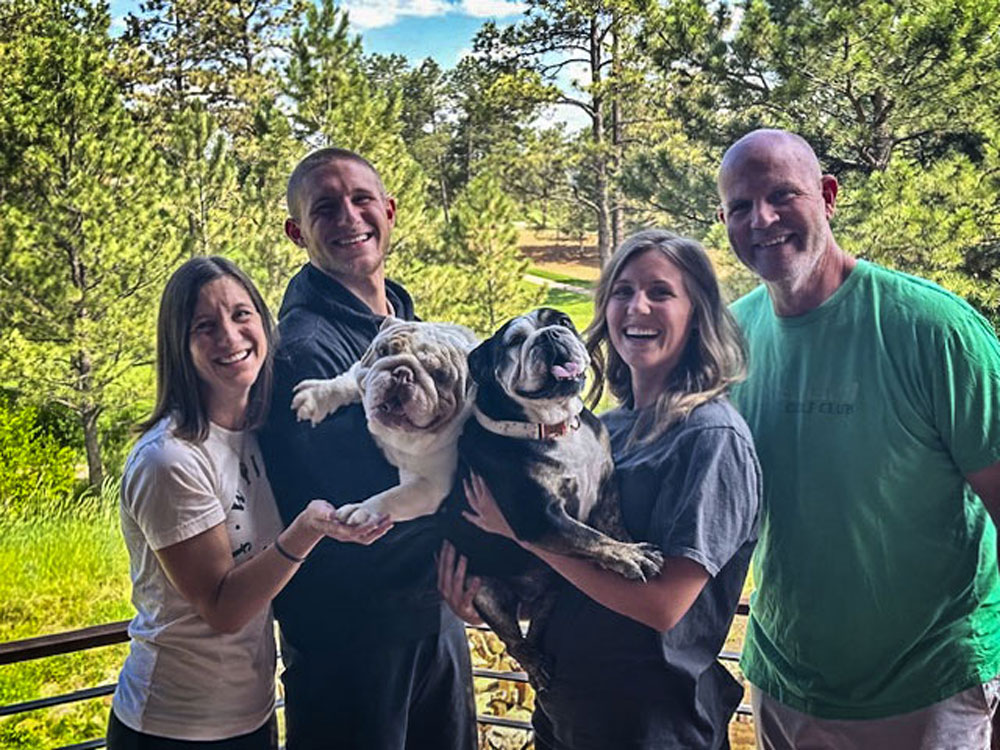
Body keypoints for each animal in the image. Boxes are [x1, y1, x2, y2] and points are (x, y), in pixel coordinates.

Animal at [446, 306, 664, 688]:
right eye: (515, 341)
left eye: (562, 321)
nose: (549, 335)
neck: (552, 425)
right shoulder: (539, 516)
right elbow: (590, 536)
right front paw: (631, 556)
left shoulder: (607, 488)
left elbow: (610, 527)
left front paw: (629, 546)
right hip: (484, 590)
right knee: (513, 639)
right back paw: (534, 665)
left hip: (553, 588)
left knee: (537, 626)